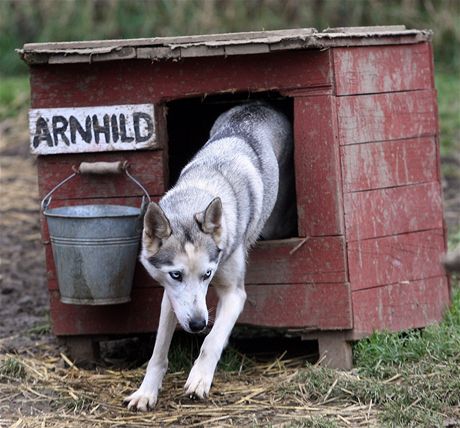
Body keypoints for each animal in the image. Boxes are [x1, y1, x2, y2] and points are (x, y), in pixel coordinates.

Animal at [124, 101, 294, 412]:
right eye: (176, 275)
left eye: (207, 274)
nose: (197, 324)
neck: (199, 192)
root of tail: (259, 104)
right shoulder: (171, 299)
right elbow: (158, 352)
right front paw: (146, 392)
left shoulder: (234, 294)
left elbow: (211, 342)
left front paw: (199, 378)